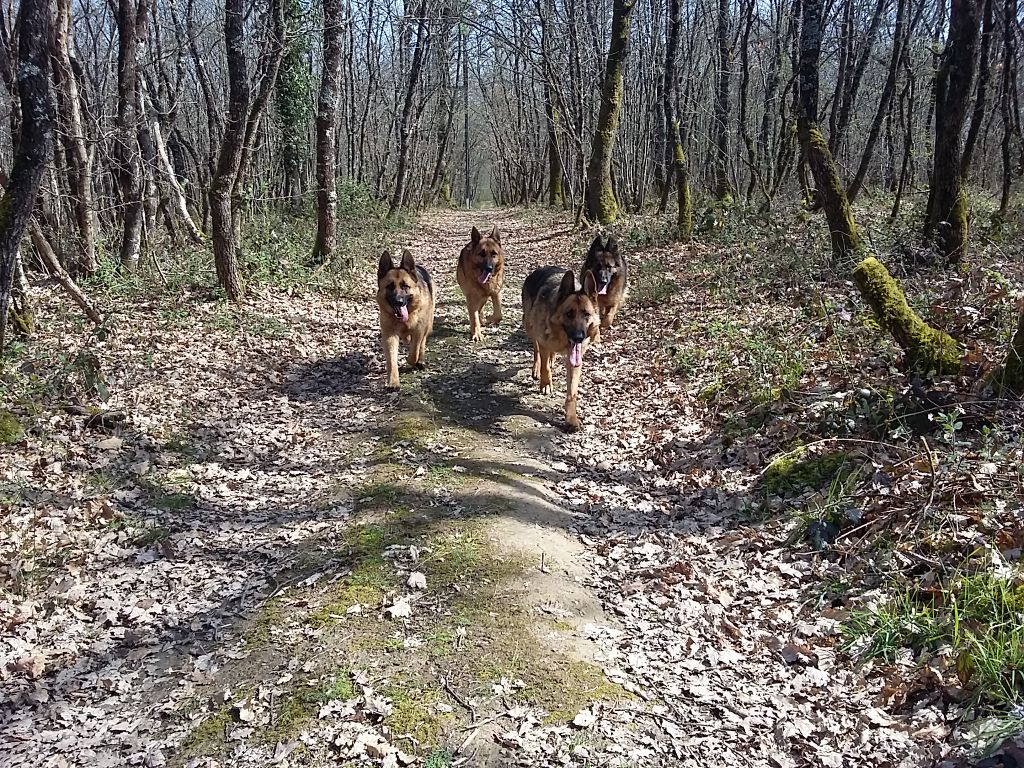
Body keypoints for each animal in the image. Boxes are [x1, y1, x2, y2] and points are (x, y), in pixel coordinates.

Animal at [380, 249, 436, 391]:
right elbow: (392, 360)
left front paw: (413, 360)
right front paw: (393, 382)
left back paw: (420, 361)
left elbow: (414, 351)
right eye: (390, 286)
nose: (399, 302)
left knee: (422, 343)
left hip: (427, 325)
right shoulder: (390, 335)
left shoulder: (419, 330)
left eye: (405, 286)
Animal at [520, 266, 598, 434]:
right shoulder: (543, 342)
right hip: (529, 326)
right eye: (569, 314)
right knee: (536, 350)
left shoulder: (574, 361)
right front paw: (546, 384)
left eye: (586, 314)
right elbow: (545, 367)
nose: (579, 337)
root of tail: (541, 268)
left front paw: (571, 418)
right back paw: (536, 368)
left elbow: (572, 392)